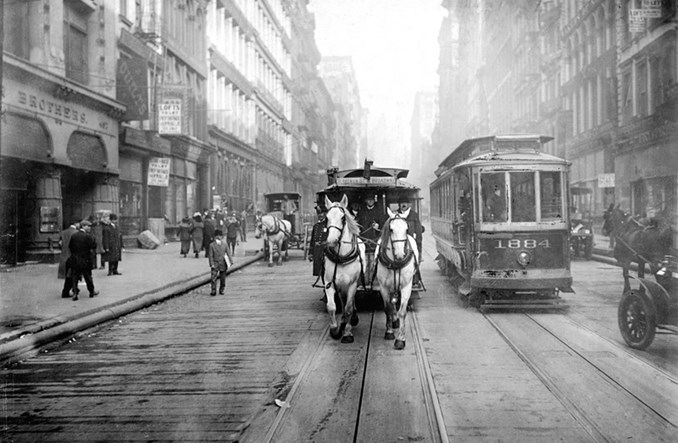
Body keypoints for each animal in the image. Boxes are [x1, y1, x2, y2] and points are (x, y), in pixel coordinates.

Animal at [324, 194, 366, 344]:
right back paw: (342, 321)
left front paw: (347, 333)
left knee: (350, 303)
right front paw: (334, 330)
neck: (341, 257)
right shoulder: (329, 283)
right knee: (342, 301)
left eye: (343, 218)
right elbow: (331, 307)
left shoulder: (352, 284)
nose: (331, 241)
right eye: (326, 218)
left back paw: (352, 319)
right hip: (340, 286)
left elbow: (348, 308)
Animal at [378, 208, 420, 350]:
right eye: (391, 229)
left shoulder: (406, 285)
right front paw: (389, 332)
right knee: (391, 305)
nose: (401, 254)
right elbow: (388, 308)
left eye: (406, 229)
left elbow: (402, 312)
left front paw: (400, 339)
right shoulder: (383, 287)